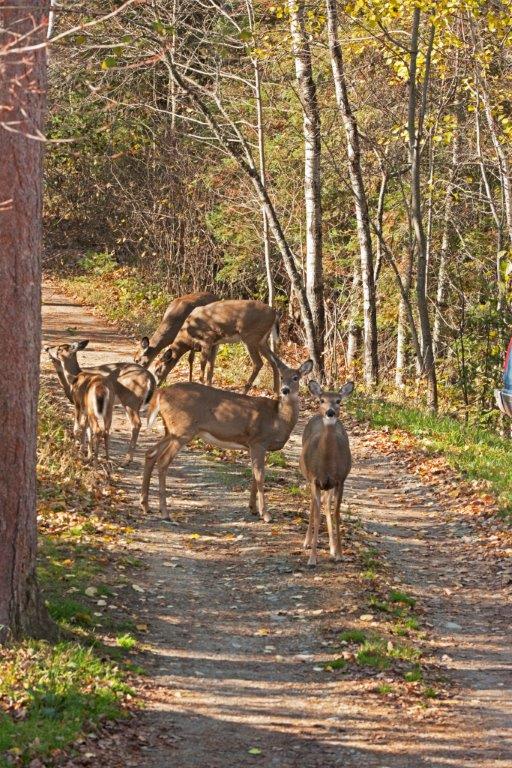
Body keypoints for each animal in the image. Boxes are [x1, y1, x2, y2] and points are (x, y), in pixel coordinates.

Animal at [140, 351, 313, 520]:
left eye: (295, 377)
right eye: (282, 377)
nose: (285, 390)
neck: (278, 418)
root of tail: (161, 393)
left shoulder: (252, 445)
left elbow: (254, 475)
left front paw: (253, 508)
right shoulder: (259, 441)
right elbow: (260, 476)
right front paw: (265, 514)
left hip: (171, 430)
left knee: (150, 453)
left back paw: (146, 506)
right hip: (183, 429)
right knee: (163, 460)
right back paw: (165, 512)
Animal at [299, 380, 354, 567]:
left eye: (338, 400)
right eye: (321, 400)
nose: (330, 412)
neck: (326, 464)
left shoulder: (340, 480)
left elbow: (336, 513)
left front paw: (340, 554)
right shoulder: (315, 480)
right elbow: (317, 516)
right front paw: (312, 558)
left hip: (329, 486)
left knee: (326, 504)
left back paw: (331, 548)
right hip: (308, 477)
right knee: (313, 505)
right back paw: (307, 542)